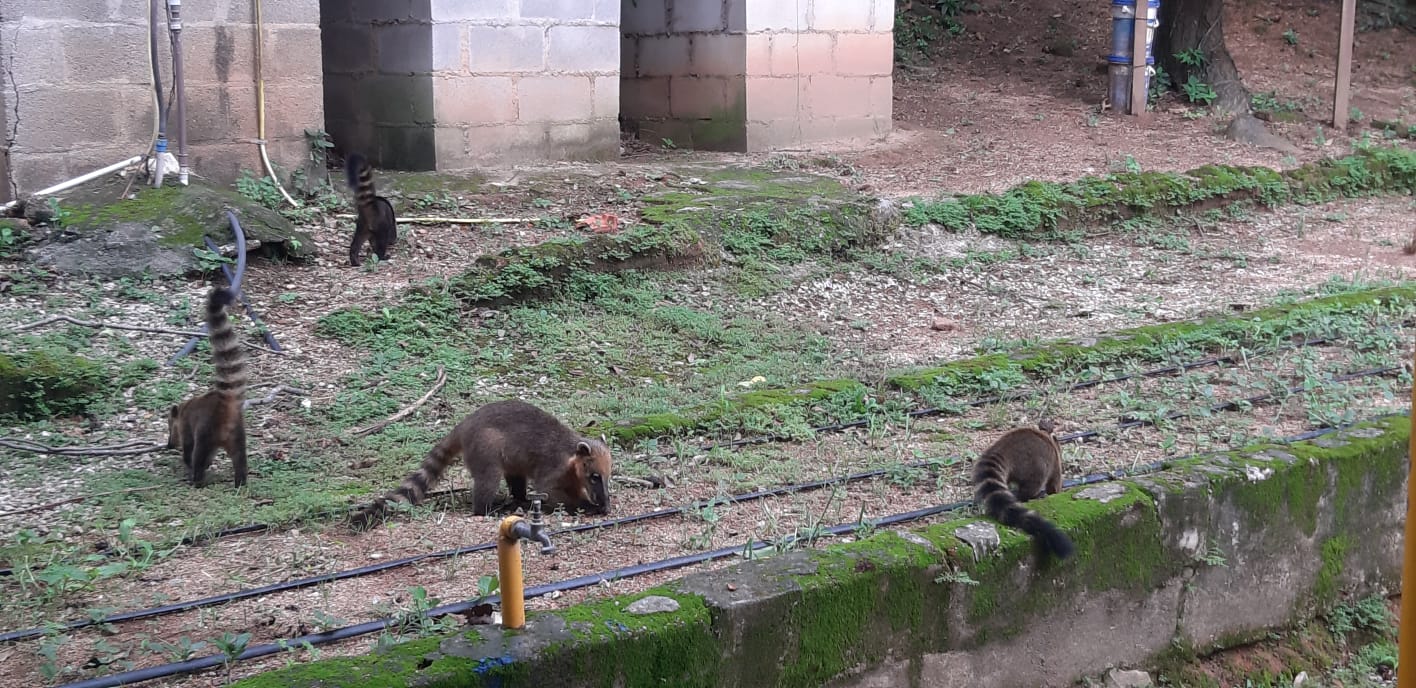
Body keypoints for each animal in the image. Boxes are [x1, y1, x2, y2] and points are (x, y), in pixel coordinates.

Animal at [167, 287, 248, 488]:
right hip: (237, 433)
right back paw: (241, 481)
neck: (183, 407)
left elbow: (189, 448)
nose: (168, 445)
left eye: (170, 426)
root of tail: (224, 403)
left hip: (207, 431)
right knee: (240, 457)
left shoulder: (187, 425)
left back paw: (196, 479)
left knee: (198, 453)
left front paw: (187, 463)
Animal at [349, 399, 613, 530]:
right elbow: (548, 490)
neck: (572, 454)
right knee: (488, 480)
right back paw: (487, 509)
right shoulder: (554, 466)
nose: (606, 506)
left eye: (607, 477)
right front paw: (584, 505)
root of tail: (464, 425)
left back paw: (520, 499)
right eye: (594, 476)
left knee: (515, 477)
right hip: (485, 449)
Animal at [970, 419, 1074, 560]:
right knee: (1033, 484)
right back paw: (1030, 495)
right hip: (1033, 465)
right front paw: (1056, 492)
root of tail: (1002, 448)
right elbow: (1054, 483)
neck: (1046, 436)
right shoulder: (1055, 461)